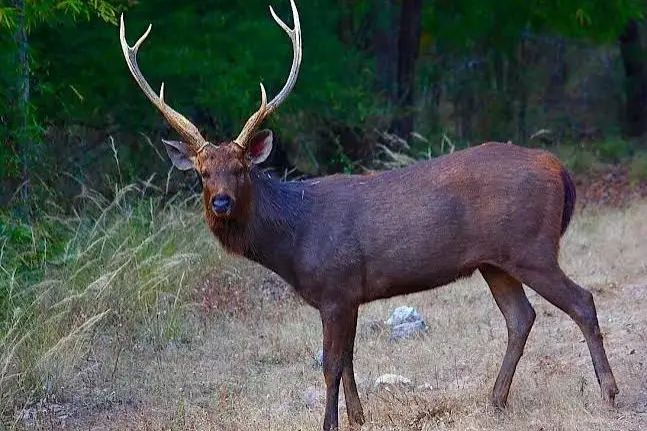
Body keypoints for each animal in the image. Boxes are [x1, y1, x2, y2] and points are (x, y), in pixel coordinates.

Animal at [118, 1, 619, 429]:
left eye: (241, 168)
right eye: (203, 173)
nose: (221, 202)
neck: (293, 241)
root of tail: (559, 169)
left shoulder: (336, 287)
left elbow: (330, 363)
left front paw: (329, 423)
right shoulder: (350, 293)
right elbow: (348, 359)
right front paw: (359, 417)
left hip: (531, 246)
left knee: (582, 301)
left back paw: (608, 393)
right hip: (495, 261)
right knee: (521, 317)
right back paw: (495, 400)